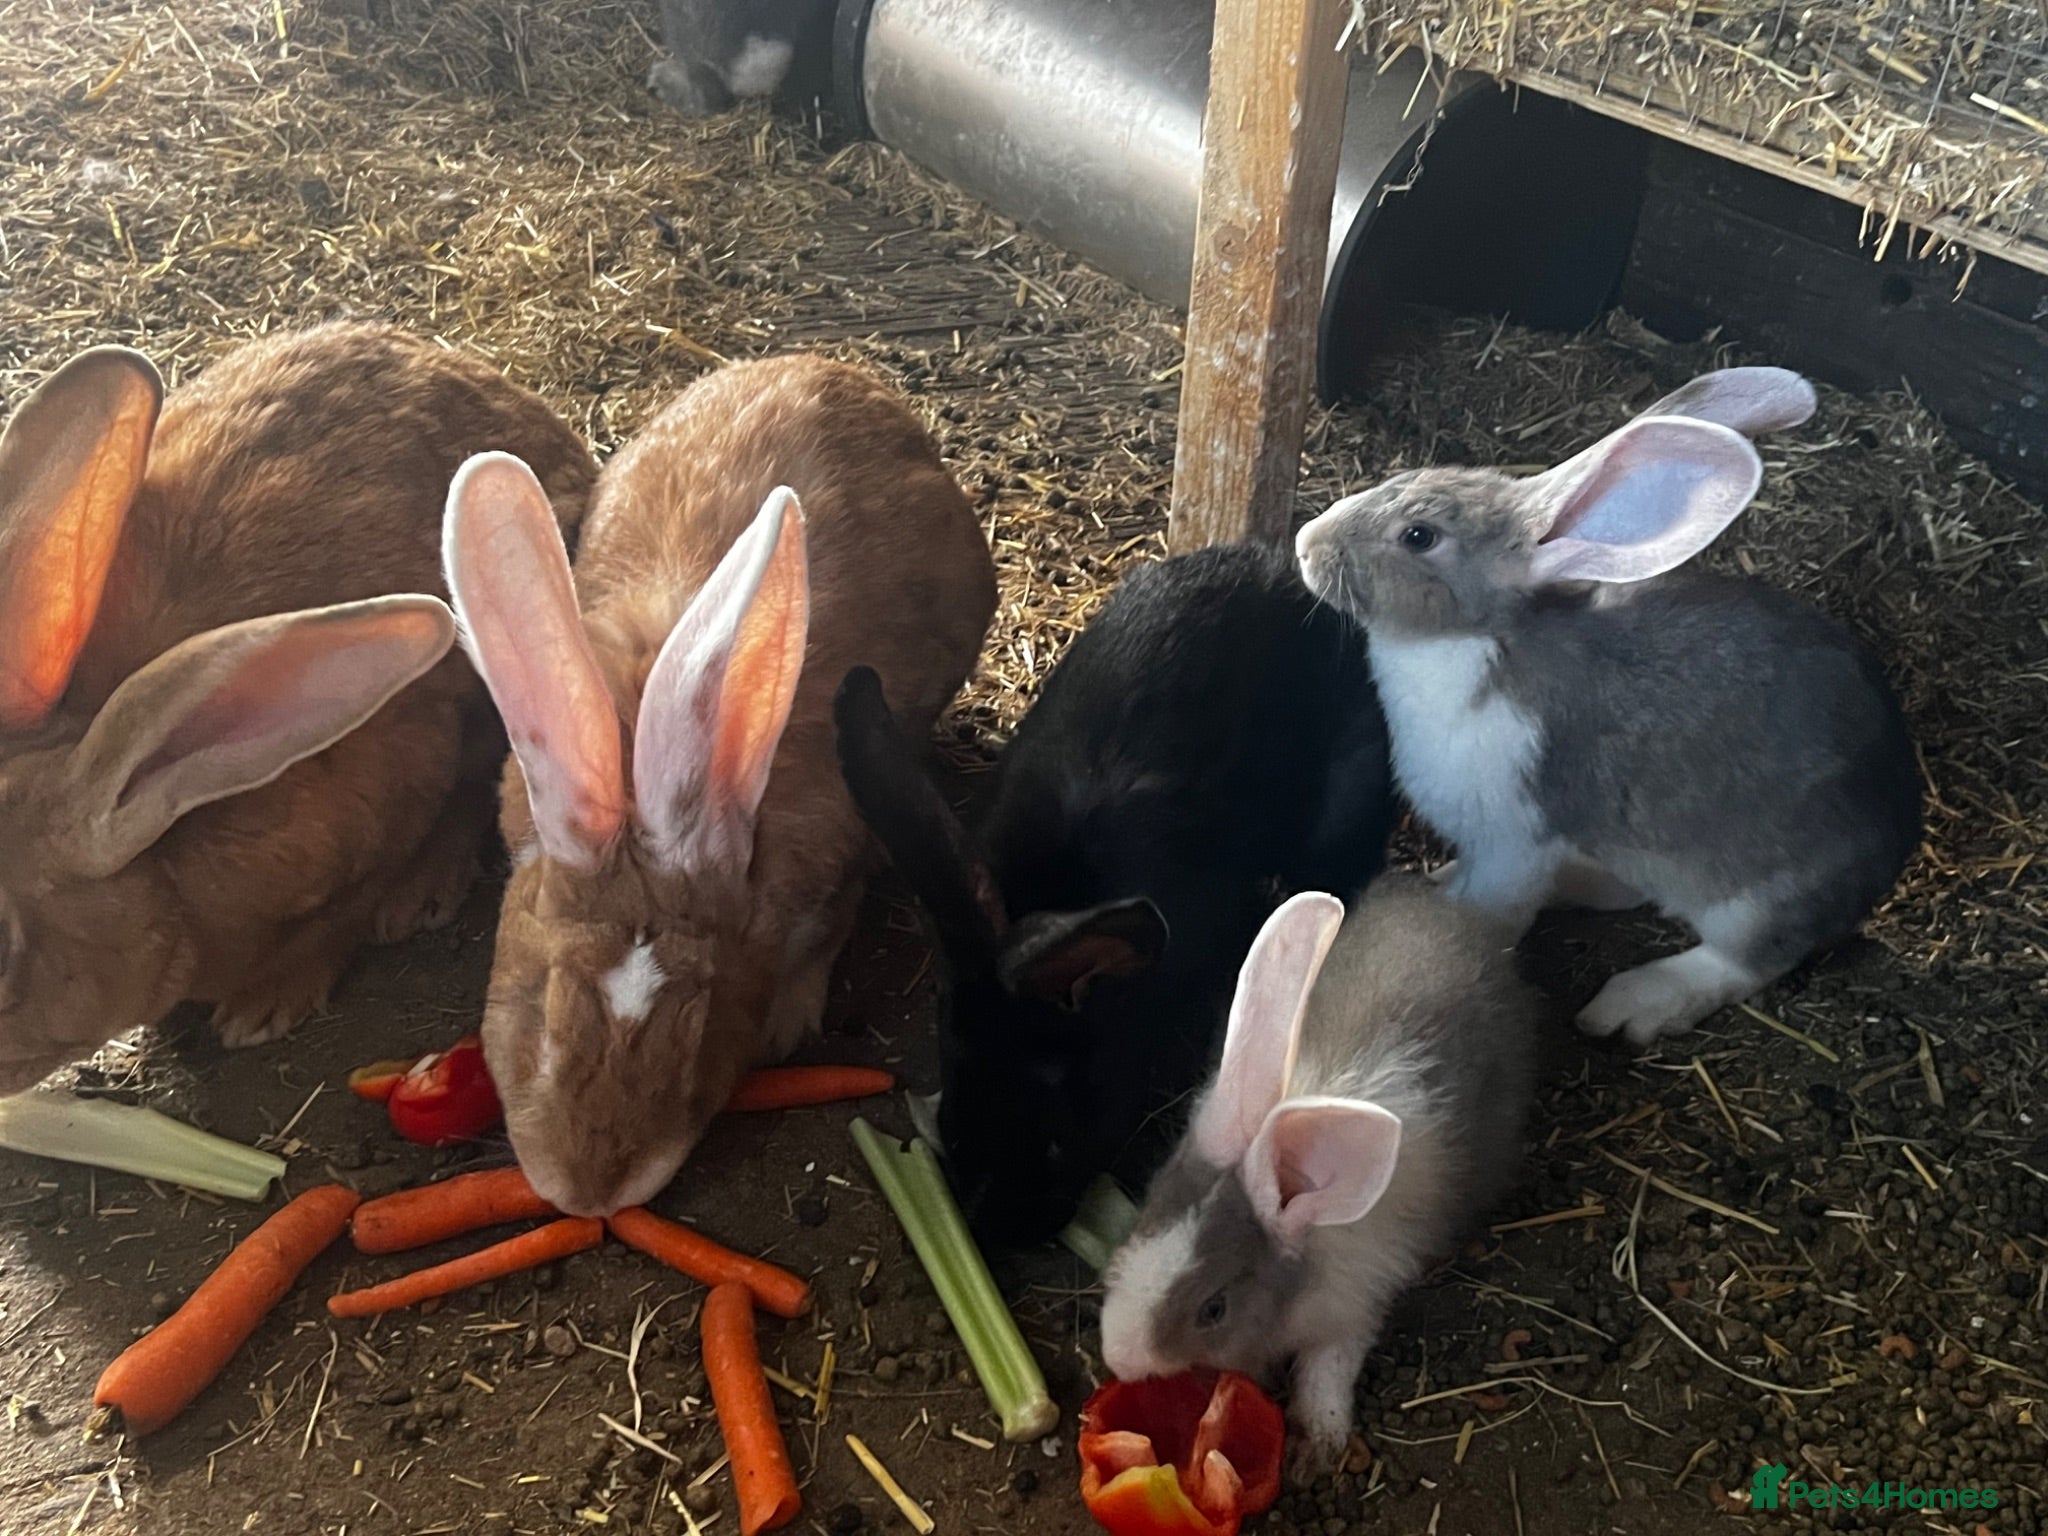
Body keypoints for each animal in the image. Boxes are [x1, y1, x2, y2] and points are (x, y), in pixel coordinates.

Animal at [442, 353, 995, 1217]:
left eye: (698, 1031)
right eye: (544, 1012)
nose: (590, 1195)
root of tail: (827, 367)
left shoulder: (843, 853)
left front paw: (785, 1025)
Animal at [1098, 875, 1538, 1472]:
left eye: (1214, 1309)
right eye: (1137, 1230)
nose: (1117, 1357)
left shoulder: (1352, 1308)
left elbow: (1327, 1371)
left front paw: (1320, 1445)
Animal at [1294, 366, 1922, 1047]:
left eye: (1418, 536)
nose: (1305, 543)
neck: (1476, 643)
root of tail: (1898, 842)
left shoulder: (1515, 842)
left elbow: (1491, 912)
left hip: (1761, 900)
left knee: (1745, 960)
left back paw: (1636, 1003)